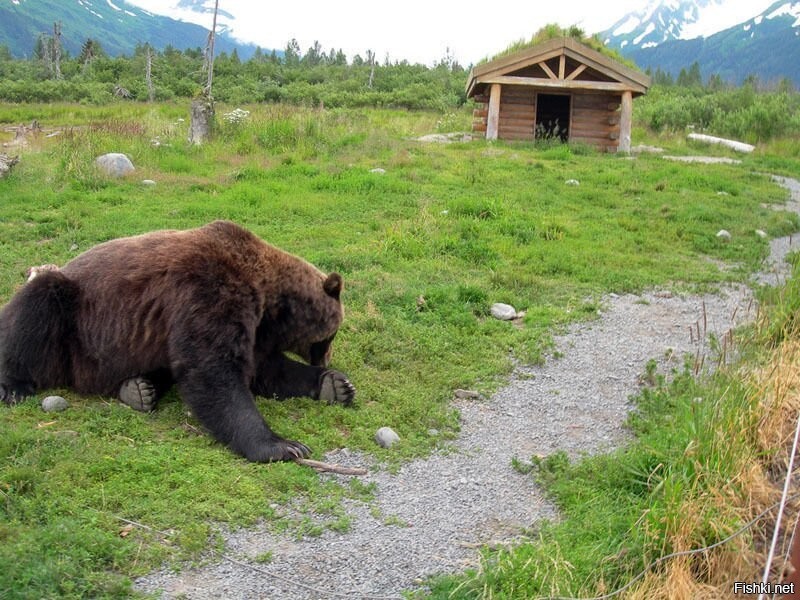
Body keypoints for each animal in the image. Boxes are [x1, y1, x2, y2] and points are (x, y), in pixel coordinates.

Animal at [0, 220, 356, 460]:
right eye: (331, 333)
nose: (327, 357)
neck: (269, 299)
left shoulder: (255, 329)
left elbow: (267, 370)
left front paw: (336, 385)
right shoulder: (210, 290)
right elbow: (213, 370)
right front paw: (283, 445)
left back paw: (139, 388)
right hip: (76, 326)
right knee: (36, 307)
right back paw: (14, 385)